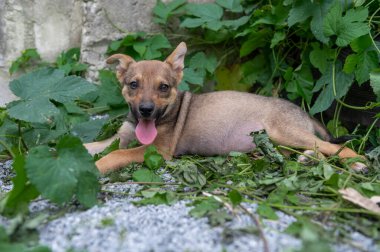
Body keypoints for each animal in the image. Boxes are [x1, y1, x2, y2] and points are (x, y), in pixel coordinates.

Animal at [84, 42, 366, 174]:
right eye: (133, 84)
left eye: (163, 87)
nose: (145, 110)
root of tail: (303, 112)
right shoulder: (120, 137)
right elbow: (92, 146)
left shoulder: (158, 151)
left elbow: (116, 154)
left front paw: (96, 168)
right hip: (278, 141)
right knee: (313, 151)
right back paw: (303, 158)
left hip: (284, 133)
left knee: (333, 147)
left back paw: (357, 163)